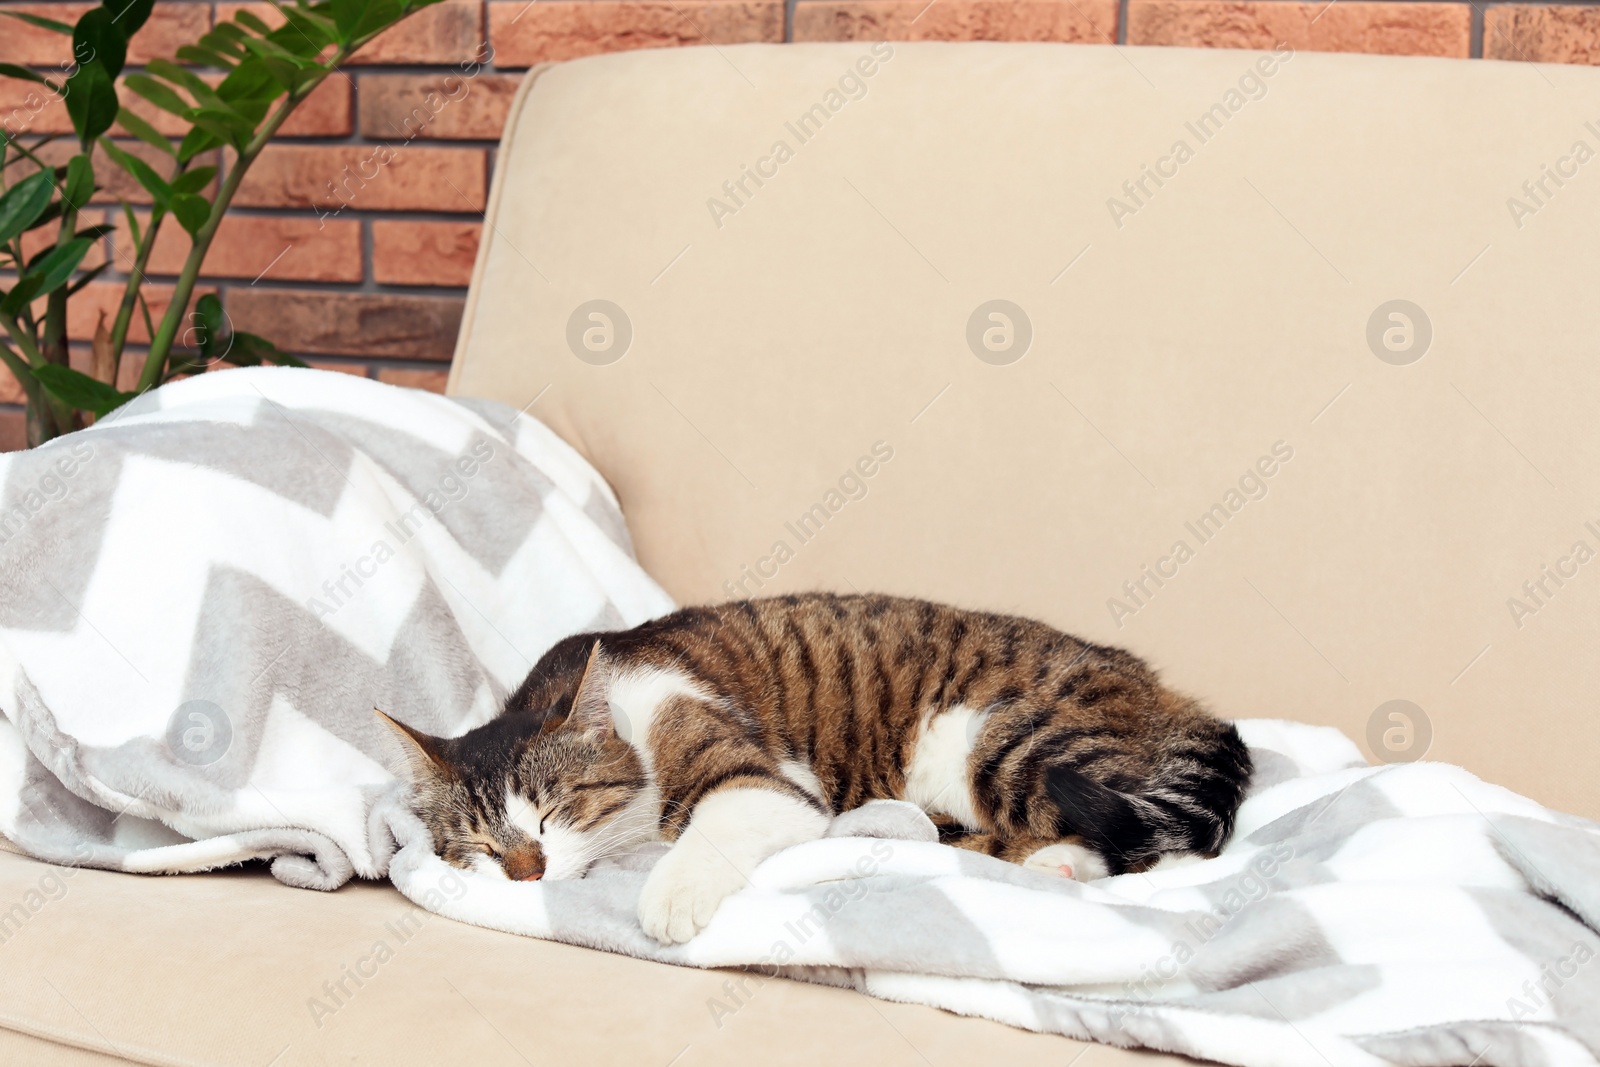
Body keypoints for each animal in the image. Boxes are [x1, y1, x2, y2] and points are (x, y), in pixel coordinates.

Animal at [380, 598, 1254, 947]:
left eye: (554, 809)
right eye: (476, 844)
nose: (527, 872)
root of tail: (1162, 689)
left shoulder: (752, 776)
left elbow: (717, 825)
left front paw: (669, 895)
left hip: (998, 741)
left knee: (1147, 842)